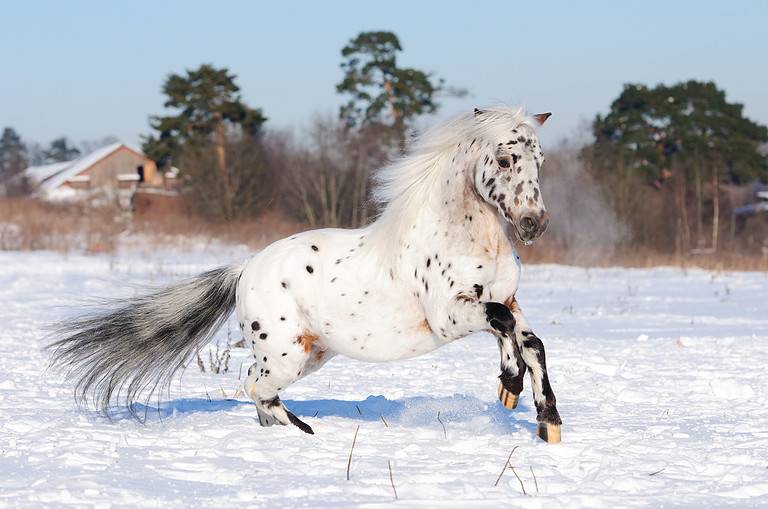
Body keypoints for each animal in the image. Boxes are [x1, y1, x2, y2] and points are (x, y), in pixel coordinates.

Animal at [50, 106, 562, 443]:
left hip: (310, 354)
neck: (467, 239)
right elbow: (503, 326)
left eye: (540, 161)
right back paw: (302, 431)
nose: (534, 224)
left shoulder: (508, 300)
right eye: (504, 160)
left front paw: (542, 417)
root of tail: (245, 268)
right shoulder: (449, 316)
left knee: (257, 389)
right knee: (254, 386)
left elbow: (528, 339)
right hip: (285, 354)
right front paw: (513, 387)